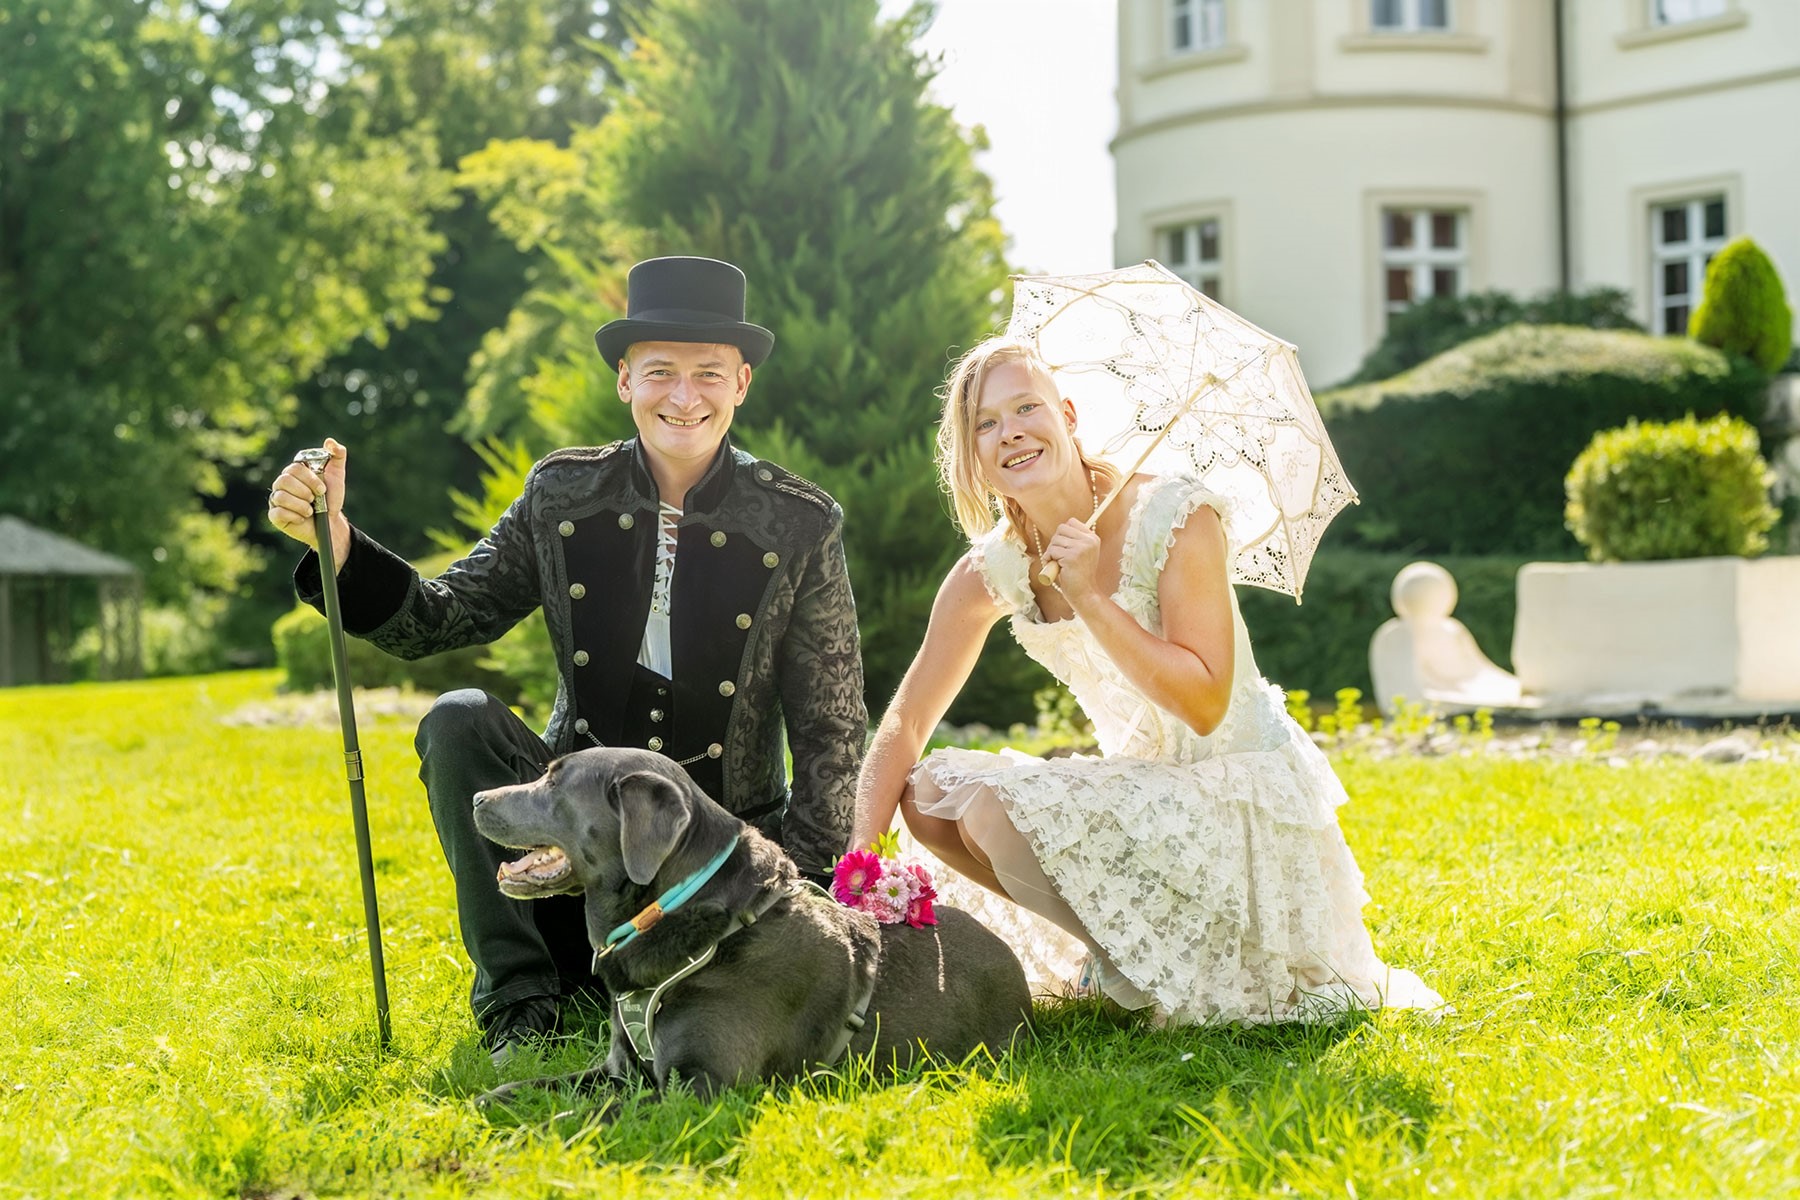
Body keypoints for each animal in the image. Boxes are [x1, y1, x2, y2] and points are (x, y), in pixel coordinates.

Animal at [470, 747, 1031, 1107]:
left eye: (553, 781)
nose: (476, 798)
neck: (684, 908)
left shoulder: (704, 1089)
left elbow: (593, 1116)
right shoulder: (620, 1070)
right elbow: (527, 1089)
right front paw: (487, 1104)